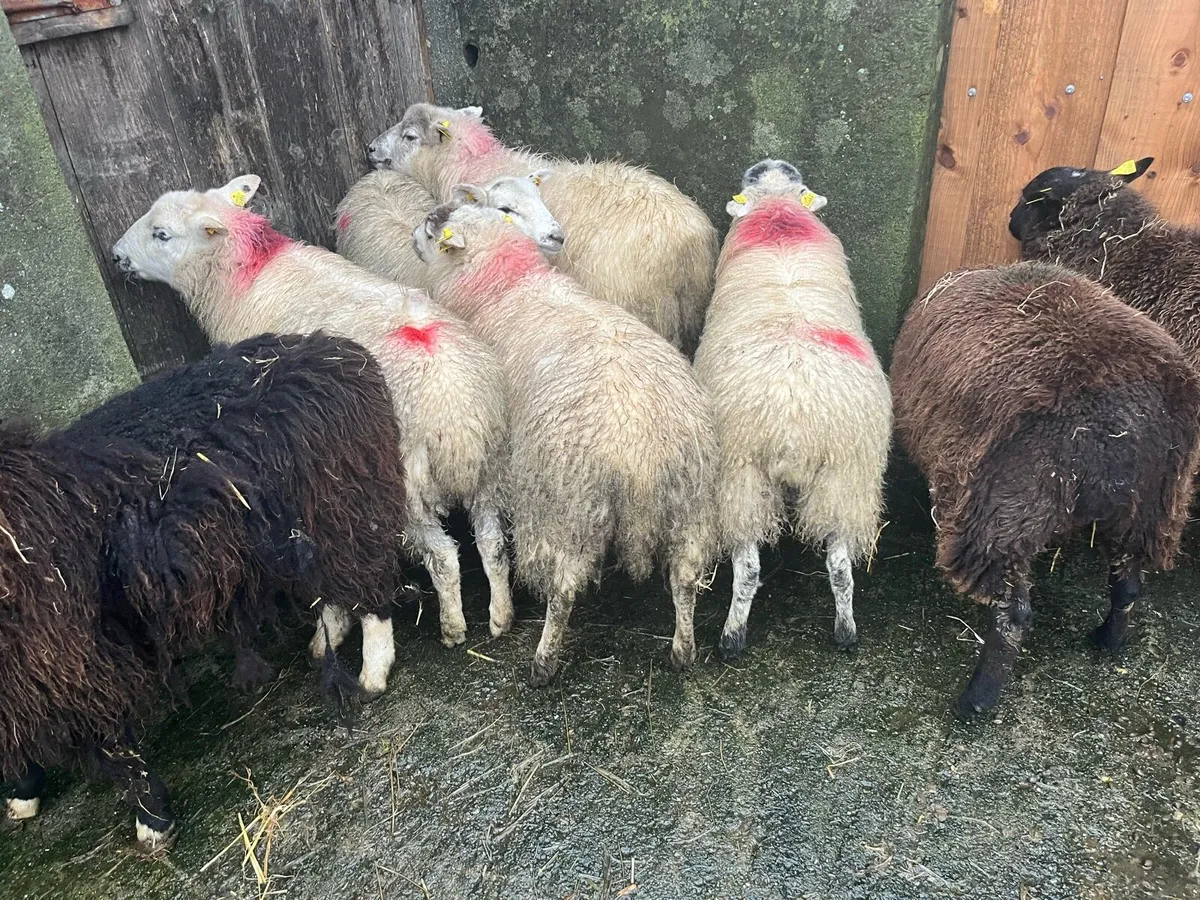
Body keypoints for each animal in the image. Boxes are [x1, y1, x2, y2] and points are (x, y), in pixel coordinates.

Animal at [1, 331, 408, 852]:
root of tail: (336, 352)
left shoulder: (71, 659)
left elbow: (114, 747)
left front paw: (153, 818)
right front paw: (23, 793)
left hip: (345, 507)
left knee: (369, 590)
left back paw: (372, 673)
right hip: (305, 528)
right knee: (332, 590)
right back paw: (325, 643)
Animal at [112, 175, 513, 648]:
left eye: (161, 235)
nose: (116, 256)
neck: (245, 273)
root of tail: (457, 415)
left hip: (404, 484)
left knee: (444, 556)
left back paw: (452, 627)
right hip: (488, 469)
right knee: (492, 544)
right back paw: (501, 616)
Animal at [411, 195, 718, 685]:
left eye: (436, 228)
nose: (418, 226)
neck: (509, 286)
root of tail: (641, 452)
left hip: (566, 507)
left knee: (564, 590)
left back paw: (544, 660)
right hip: (690, 499)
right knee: (686, 579)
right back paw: (683, 650)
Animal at [693, 160, 892, 658]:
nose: (769, 164)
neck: (779, 214)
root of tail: (794, 422)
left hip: (739, 476)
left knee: (747, 569)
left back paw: (731, 638)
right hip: (847, 478)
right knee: (840, 567)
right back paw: (846, 631)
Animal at [890, 261, 1200, 718]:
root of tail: (1110, 427)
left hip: (1004, 517)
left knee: (1015, 615)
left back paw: (976, 701)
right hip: (1145, 509)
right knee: (1127, 585)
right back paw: (1108, 640)